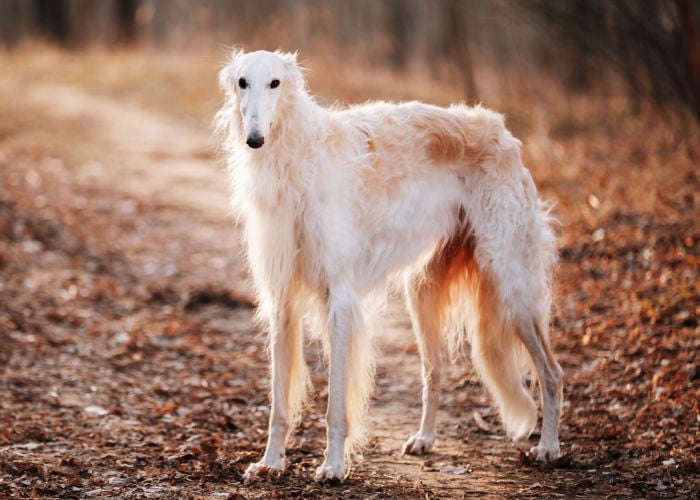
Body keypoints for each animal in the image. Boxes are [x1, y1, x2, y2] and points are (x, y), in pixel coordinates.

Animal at [215, 49, 564, 480]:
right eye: (242, 82)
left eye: (275, 83)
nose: (255, 139)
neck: (296, 159)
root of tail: (503, 132)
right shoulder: (282, 299)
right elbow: (279, 403)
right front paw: (270, 462)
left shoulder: (339, 297)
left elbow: (336, 405)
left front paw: (333, 466)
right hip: (424, 293)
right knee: (435, 371)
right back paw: (425, 438)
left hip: (511, 285)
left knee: (552, 373)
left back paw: (549, 446)